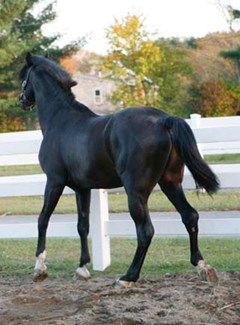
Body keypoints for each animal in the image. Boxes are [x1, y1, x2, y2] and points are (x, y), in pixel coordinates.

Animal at [19, 54, 219, 288]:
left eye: (24, 77)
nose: (22, 101)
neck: (61, 120)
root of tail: (164, 120)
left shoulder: (54, 182)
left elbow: (43, 219)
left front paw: (40, 268)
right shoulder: (82, 189)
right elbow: (82, 226)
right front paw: (82, 268)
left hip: (136, 192)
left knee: (146, 231)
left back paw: (128, 277)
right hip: (170, 184)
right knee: (190, 216)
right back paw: (202, 266)